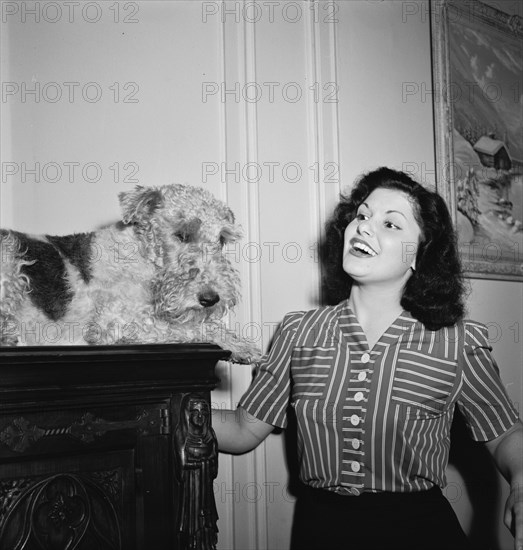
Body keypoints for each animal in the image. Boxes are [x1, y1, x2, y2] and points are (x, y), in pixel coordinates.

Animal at [0, 185, 260, 366]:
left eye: (221, 239)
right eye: (182, 235)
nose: (211, 299)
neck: (142, 257)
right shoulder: (113, 324)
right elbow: (190, 328)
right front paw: (243, 346)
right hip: (11, 263)